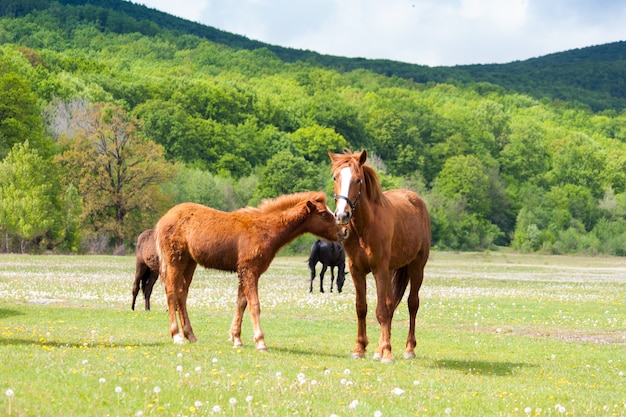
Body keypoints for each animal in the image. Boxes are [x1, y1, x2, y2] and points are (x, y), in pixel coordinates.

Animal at [156, 192, 348, 348]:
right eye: (323, 214)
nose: (344, 231)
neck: (265, 229)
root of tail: (163, 219)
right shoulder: (250, 270)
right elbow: (254, 305)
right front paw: (260, 341)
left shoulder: (245, 271)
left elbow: (241, 303)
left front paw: (236, 338)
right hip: (175, 261)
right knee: (172, 293)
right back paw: (177, 336)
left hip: (189, 263)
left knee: (182, 295)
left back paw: (190, 335)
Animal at [326, 150, 428, 360]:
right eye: (335, 177)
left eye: (358, 180)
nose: (342, 215)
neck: (365, 227)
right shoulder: (356, 271)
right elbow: (362, 308)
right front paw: (360, 349)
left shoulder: (379, 270)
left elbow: (381, 311)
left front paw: (387, 352)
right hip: (391, 271)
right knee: (390, 304)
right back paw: (379, 349)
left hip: (416, 268)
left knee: (412, 304)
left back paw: (409, 349)